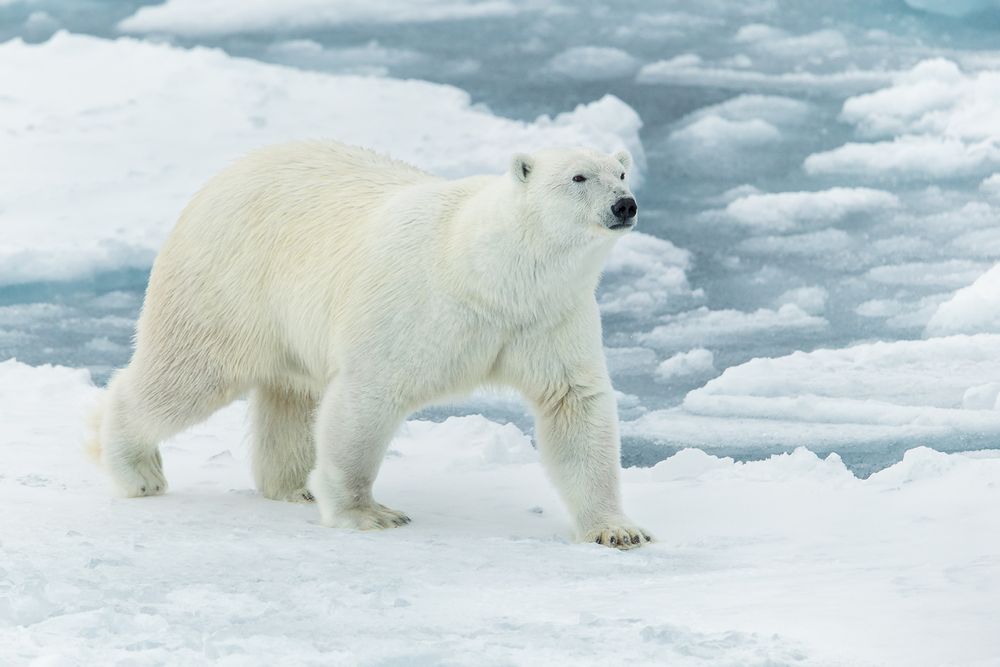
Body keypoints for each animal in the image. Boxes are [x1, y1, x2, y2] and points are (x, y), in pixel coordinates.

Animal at [88, 140, 651, 549]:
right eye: (578, 177)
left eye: (621, 174)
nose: (625, 206)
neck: (488, 273)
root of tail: (219, 178)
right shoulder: (417, 308)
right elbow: (368, 396)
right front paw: (368, 514)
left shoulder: (548, 317)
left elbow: (573, 403)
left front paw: (618, 529)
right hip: (227, 285)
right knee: (186, 375)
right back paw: (138, 471)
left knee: (290, 395)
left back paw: (292, 485)